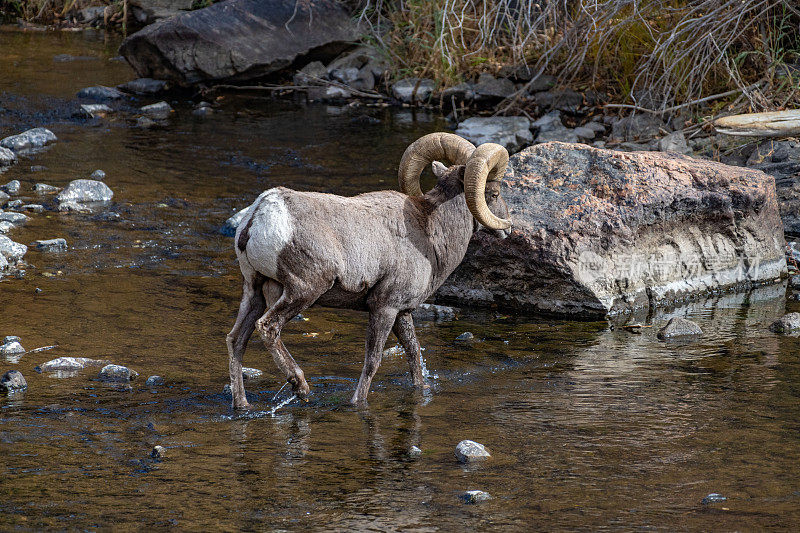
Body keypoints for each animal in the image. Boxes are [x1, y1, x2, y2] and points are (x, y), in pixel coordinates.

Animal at [228, 133, 510, 408]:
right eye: (494, 193)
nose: (508, 227)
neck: (430, 231)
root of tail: (261, 214)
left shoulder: (402, 311)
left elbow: (413, 353)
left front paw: (421, 392)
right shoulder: (384, 307)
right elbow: (373, 361)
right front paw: (358, 403)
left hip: (254, 288)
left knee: (236, 339)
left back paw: (242, 404)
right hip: (302, 291)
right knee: (268, 327)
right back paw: (301, 387)